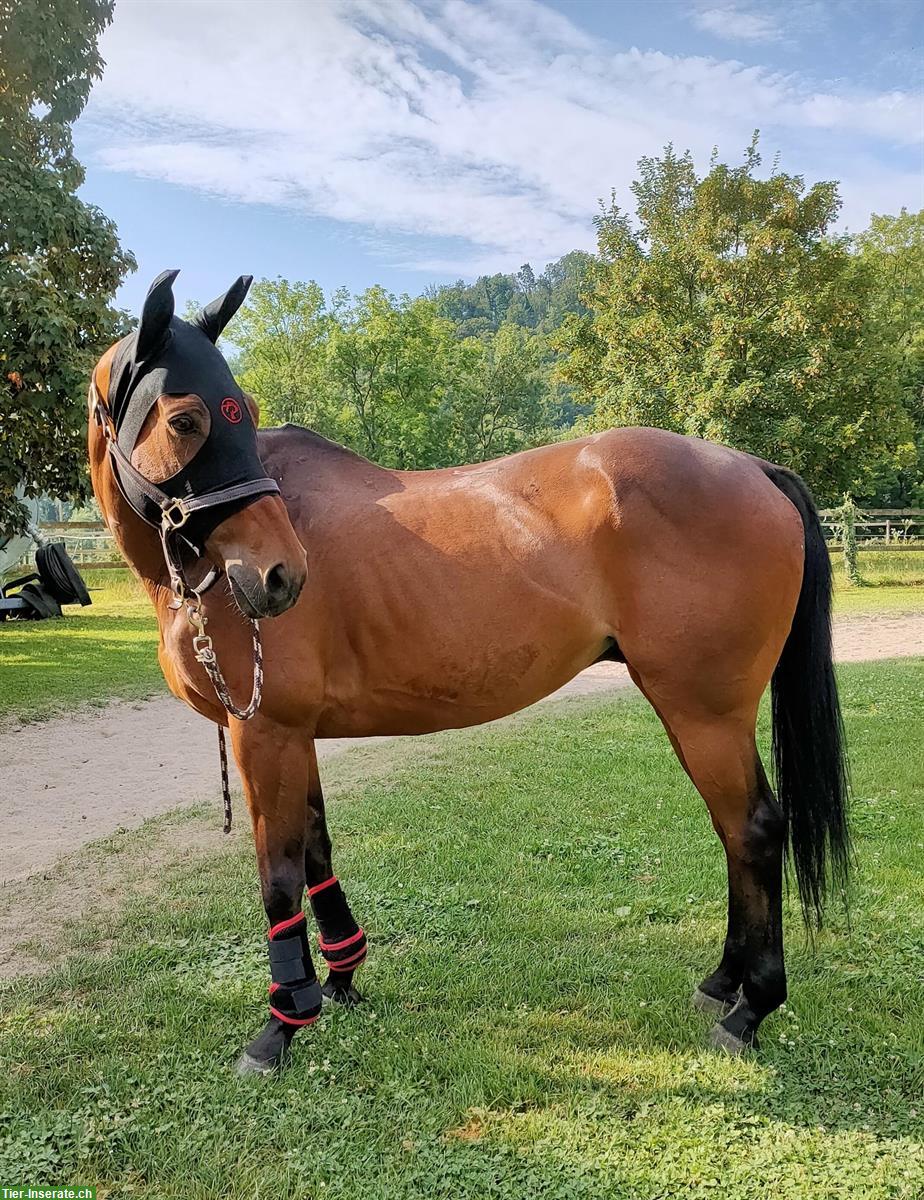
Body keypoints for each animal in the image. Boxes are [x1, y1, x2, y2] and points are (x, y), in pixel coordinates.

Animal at [90, 274, 844, 1080]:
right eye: (187, 417)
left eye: (242, 414)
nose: (280, 576)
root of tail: (752, 466)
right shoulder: (294, 736)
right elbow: (319, 850)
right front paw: (341, 979)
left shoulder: (264, 734)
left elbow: (280, 876)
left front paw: (281, 1024)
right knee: (732, 832)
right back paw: (723, 982)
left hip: (706, 714)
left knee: (754, 830)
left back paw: (751, 1007)